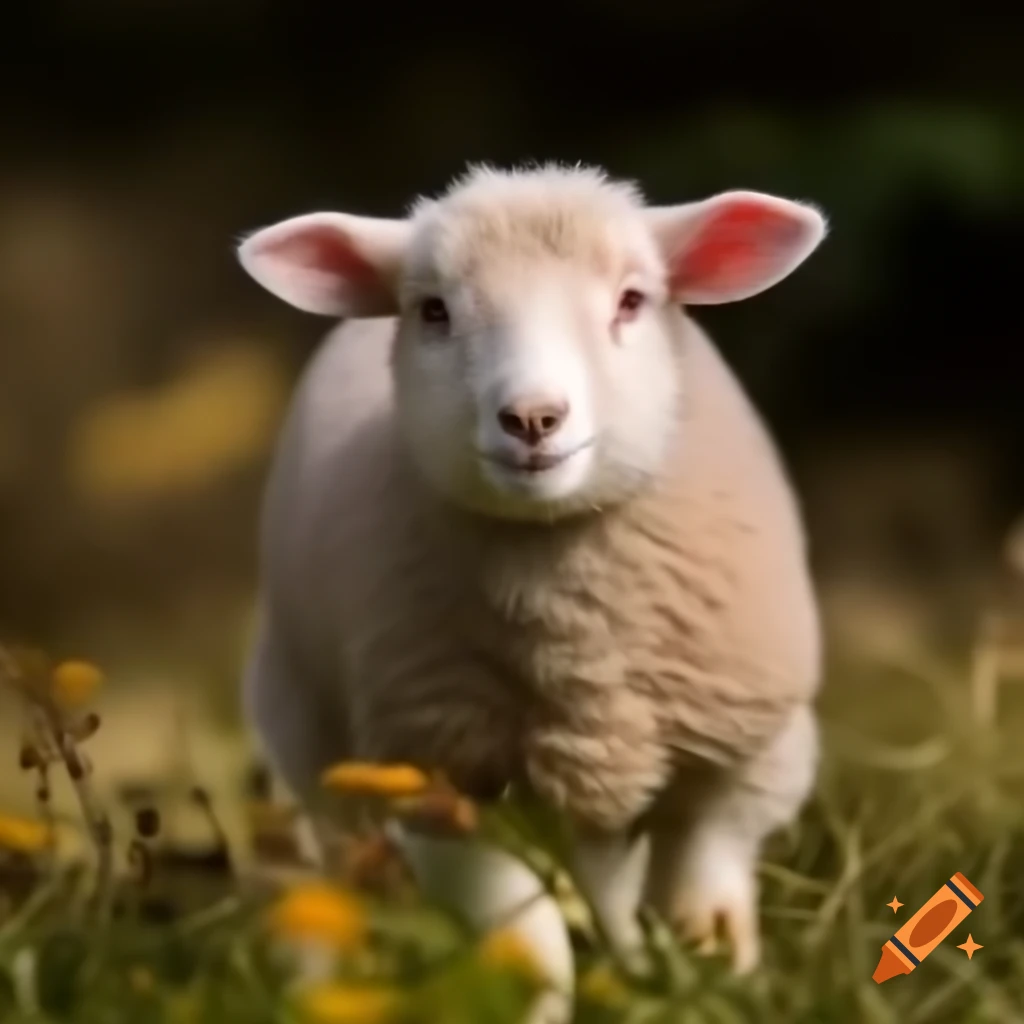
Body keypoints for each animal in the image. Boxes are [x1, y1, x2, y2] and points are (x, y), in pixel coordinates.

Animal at [236, 163, 827, 1020]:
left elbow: (706, 874)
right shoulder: (443, 775)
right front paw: (541, 1002)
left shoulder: (750, 746)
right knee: (339, 865)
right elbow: (527, 935)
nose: (533, 418)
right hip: (308, 731)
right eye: (434, 310)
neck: (577, 639)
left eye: (631, 300)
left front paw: (717, 973)